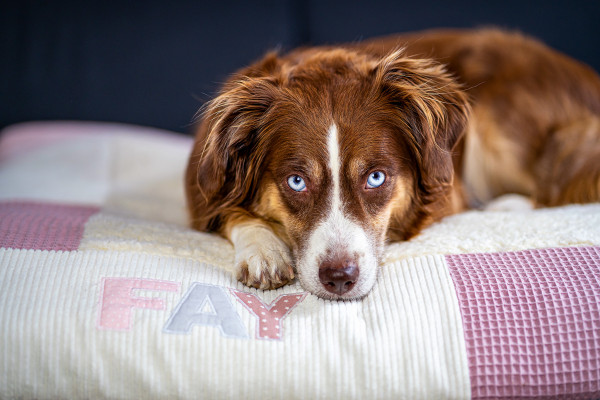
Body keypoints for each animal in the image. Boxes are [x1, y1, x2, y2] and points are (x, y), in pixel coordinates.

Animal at [186, 28, 600, 300]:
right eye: (296, 182)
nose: (340, 278)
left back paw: (506, 206)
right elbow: (228, 211)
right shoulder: (201, 191)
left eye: (376, 177)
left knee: (557, 187)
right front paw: (264, 250)